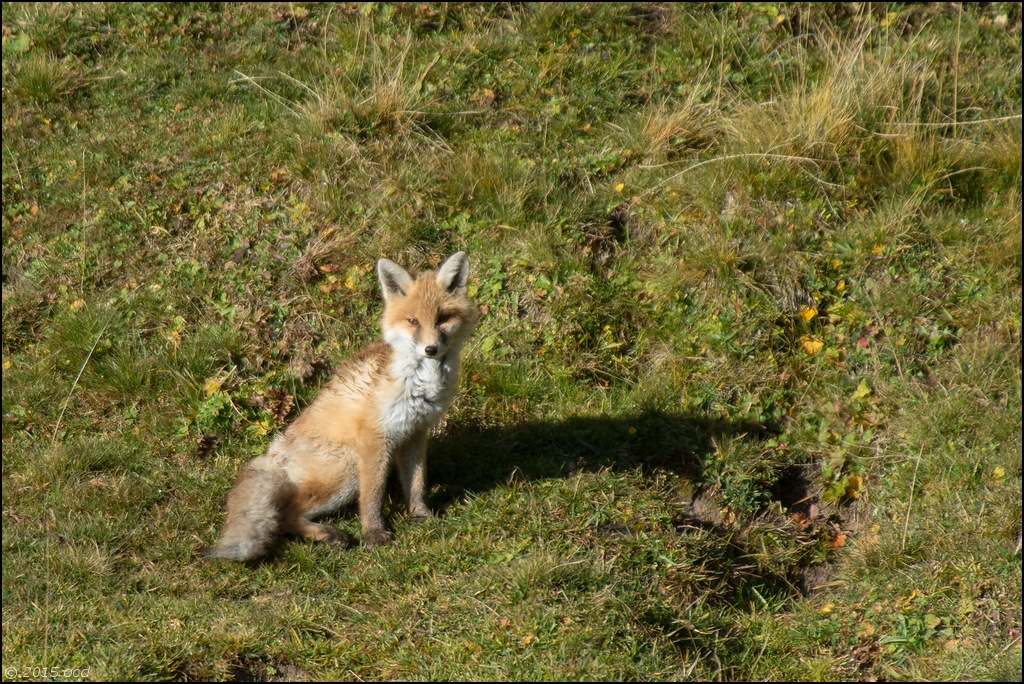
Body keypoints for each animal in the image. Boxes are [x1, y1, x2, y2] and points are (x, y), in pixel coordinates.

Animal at [205, 252, 481, 561]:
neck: (421, 381)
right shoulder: (375, 439)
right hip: (347, 469)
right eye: (413, 321)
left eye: (443, 318)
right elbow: (372, 497)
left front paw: (420, 515)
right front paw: (374, 534)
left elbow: (416, 482)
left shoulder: (415, 433)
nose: (430, 350)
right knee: (285, 516)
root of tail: (274, 456)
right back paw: (329, 535)